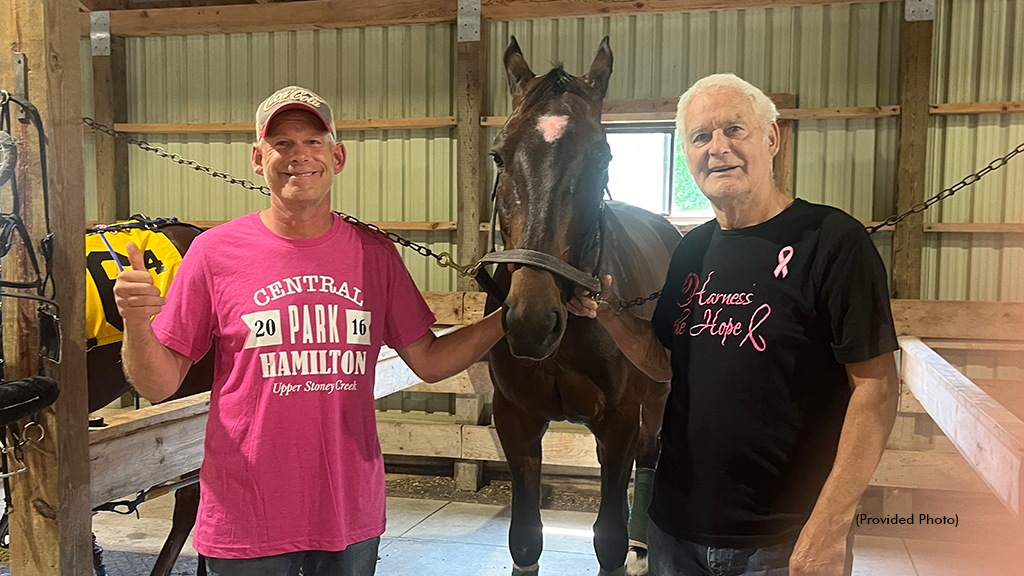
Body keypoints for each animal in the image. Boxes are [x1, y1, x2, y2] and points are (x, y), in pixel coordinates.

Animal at [485, 36, 679, 573]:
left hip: (657, 395)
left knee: (650, 456)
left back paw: (641, 545)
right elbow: (525, 539)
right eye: (499, 156)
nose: (531, 322)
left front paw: (625, 545)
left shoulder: (619, 420)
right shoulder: (517, 420)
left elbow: (607, 540)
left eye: (604, 158)